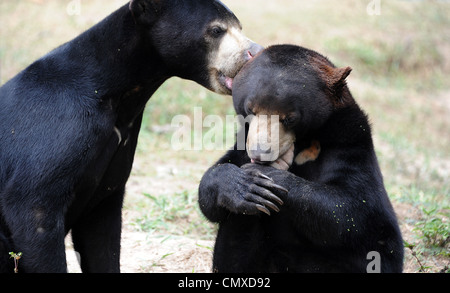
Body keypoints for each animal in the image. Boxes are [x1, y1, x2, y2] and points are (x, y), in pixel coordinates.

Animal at [0, 1, 264, 272]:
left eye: (240, 26)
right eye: (216, 30)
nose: (256, 52)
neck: (120, 94)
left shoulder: (117, 155)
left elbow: (102, 236)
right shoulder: (58, 126)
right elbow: (33, 203)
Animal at [198, 45, 404, 272]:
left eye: (289, 118)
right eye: (250, 109)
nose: (260, 153)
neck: (304, 145)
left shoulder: (350, 143)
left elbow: (352, 209)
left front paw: (267, 175)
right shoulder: (243, 143)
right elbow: (211, 196)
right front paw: (245, 185)